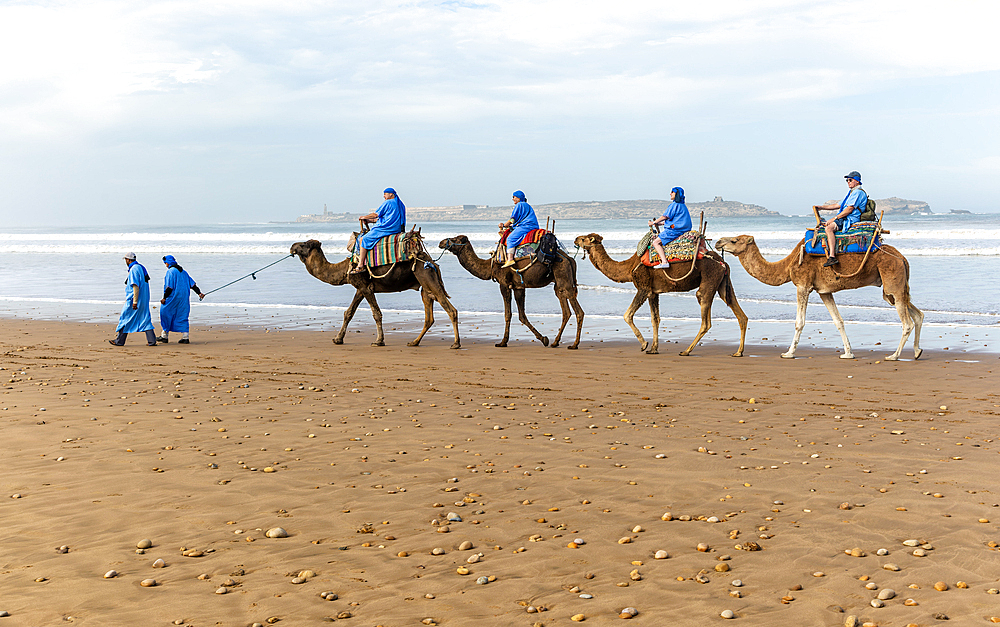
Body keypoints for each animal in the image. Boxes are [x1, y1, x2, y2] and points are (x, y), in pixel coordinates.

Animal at [290, 239, 460, 348]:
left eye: (303, 244)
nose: (292, 246)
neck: (344, 270)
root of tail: (432, 263)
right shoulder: (360, 288)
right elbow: (348, 313)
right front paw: (337, 339)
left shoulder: (366, 287)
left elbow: (376, 314)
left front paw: (379, 341)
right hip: (425, 287)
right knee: (429, 317)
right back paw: (414, 342)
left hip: (427, 277)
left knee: (451, 310)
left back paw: (456, 344)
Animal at [438, 237, 584, 350]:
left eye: (455, 239)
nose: (441, 242)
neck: (490, 266)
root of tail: (570, 259)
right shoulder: (518, 287)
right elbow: (522, 315)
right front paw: (544, 339)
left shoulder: (504, 284)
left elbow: (508, 314)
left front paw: (502, 342)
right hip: (559, 285)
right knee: (566, 311)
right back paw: (555, 342)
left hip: (564, 278)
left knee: (578, 312)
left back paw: (574, 345)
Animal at [568, 233, 748, 356]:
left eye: (584, 239)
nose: (575, 238)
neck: (628, 268)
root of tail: (723, 262)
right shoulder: (653, 292)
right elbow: (655, 319)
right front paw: (654, 348)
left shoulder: (643, 288)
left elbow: (627, 315)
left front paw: (644, 345)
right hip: (723, 283)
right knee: (740, 313)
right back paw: (738, 352)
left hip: (709, 280)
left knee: (705, 317)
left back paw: (686, 351)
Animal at [716, 236, 924, 360]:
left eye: (734, 240)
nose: (718, 242)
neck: (788, 265)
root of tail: (902, 258)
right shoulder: (824, 292)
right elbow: (838, 321)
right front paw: (848, 353)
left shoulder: (803, 285)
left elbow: (799, 322)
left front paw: (788, 353)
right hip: (893, 289)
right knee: (917, 314)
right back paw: (917, 351)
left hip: (892, 281)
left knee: (907, 322)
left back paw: (894, 356)